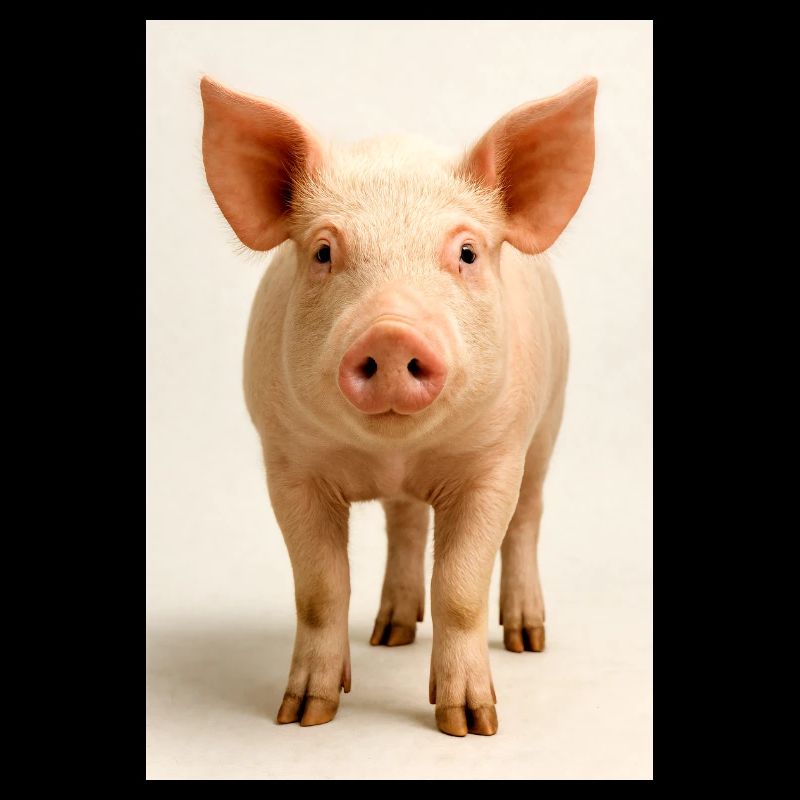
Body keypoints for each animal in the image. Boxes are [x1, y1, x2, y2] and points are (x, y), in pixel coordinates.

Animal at [200, 74, 597, 737]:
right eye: (323, 252)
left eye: (466, 253)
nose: (390, 332)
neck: (396, 453)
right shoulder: (287, 462)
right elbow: (320, 588)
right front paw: (303, 716)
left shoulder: (494, 460)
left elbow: (460, 586)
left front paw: (472, 725)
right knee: (406, 523)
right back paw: (389, 635)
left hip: (550, 420)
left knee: (527, 519)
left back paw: (526, 639)